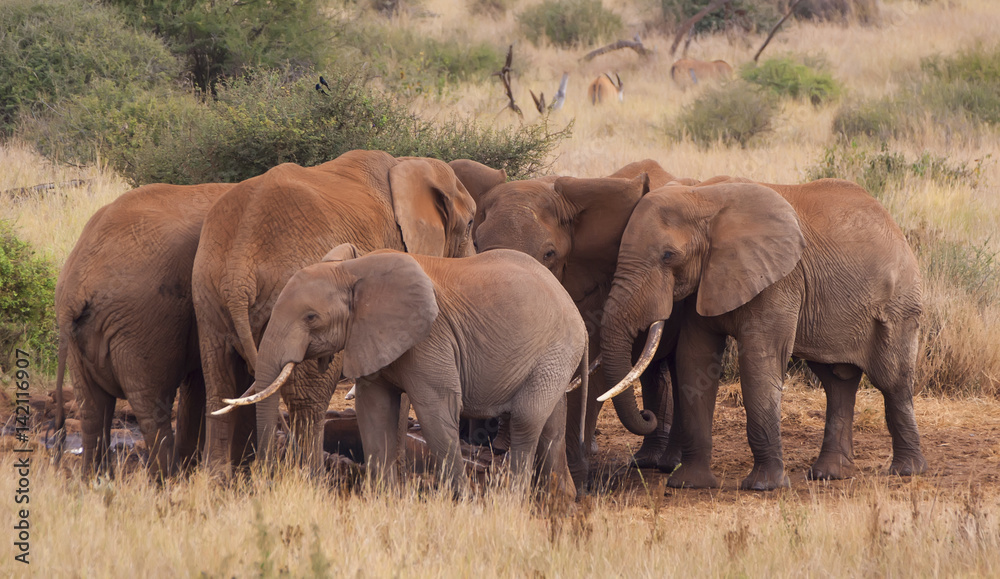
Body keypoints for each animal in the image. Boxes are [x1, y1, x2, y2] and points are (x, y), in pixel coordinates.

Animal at [55, 184, 233, 478]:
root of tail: (78, 281)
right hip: (146, 321)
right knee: (152, 407)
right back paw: (169, 479)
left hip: (84, 336)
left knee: (92, 408)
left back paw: (96, 480)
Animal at [191, 151, 500, 480]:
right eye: (470, 223)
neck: (407, 164)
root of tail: (239, 269)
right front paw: (401, 472)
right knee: (308, 401)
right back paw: (312, 479)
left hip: (208, 294)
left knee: (218, 382)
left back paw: (216, 479)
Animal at [213, 242, 584, 496]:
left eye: (311, 317)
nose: (263, 481)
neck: (352, 269)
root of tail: (569, 300)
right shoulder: (371, 336)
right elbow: (373, 410)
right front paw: (384, 499)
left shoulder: (431, 338)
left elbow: (437, 410)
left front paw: (460, 501)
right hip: (555, 358)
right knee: (550, 424)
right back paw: (559, 501)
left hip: (557, 348)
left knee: (526, 420)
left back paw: (513, 501)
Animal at [596, 177, 924, 490]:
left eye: (668, 256)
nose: (647, 415)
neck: (703, 196)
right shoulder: (704, 281)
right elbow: (694, 358)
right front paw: (689, 484)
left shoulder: (779, 280)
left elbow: (759, 359)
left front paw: (763, 486)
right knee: (836, 381)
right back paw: (829, 475)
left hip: (897, 306)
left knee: (892, 380)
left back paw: (905, 470)